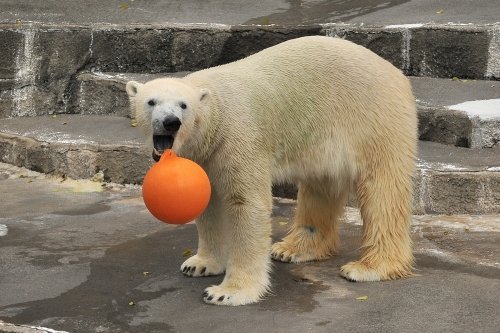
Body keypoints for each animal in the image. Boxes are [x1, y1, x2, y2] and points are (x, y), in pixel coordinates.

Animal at [126, 35, 418, 304]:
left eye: (183, 105)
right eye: (151, 101)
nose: (170, 122)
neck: (215, 111)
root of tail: (397, 75)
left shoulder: (237, 138)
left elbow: (247, 204)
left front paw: (227, 292)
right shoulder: (202, 156)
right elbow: (206, 203)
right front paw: (198, 264)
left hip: (373, 118)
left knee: (382, 189)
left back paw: (369, 267)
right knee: (321, 186)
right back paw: (293, 248)